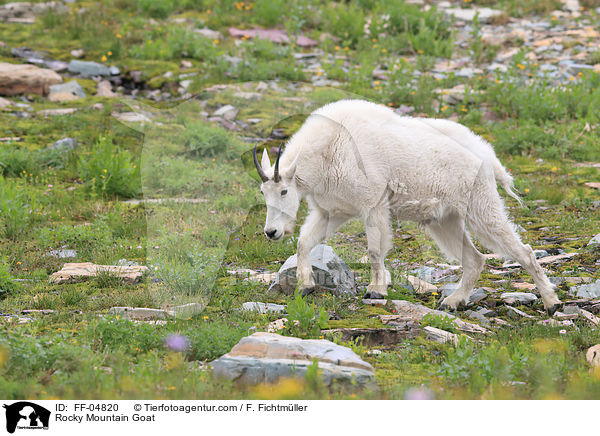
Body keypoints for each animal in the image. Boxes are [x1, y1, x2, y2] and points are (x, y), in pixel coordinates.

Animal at [254, 99, 564, 312]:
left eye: (284, 190)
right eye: (263, 192)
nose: (271, 232)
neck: (327, 150)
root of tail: (488, 156)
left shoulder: (374, 204)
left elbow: (374, 250)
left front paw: (376, 290)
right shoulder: (331, 211)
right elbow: (304, 242)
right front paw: (305, 286)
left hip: (480, 204)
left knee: (522, 250)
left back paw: (551, 302)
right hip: (445, 220)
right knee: (474, 259)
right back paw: (453, 301)